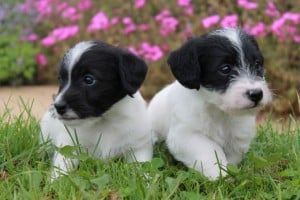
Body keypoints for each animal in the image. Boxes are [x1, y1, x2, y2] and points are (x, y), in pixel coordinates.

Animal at [40, 41, 152, 179]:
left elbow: (141, 167)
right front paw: (55, 181)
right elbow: (62, 167)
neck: (105, 120)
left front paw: (146, 180)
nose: (58, 106)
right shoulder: (70, 146)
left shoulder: (138, 146)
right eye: (60, 79)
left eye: (89, 79)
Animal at [149, 27, 274, 180]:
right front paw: (218, 174)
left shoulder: (238, 135)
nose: (256, 94)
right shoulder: (184, 134)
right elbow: (209, 149)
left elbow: (233, 155)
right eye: (225, 69)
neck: (219, 111)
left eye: (257, 64)